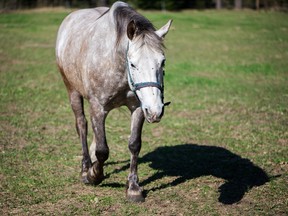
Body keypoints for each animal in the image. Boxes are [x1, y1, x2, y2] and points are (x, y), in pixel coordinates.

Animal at [55, 0, 172, 202]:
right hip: (72, 90)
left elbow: (134, 145)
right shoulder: (98, 107)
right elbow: (103, 150)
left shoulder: (138, 108)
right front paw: (94, 175)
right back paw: (86, 168)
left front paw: (133, 187)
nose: (156, 111)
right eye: (133, 63)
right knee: (82, 125)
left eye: (162, 62)